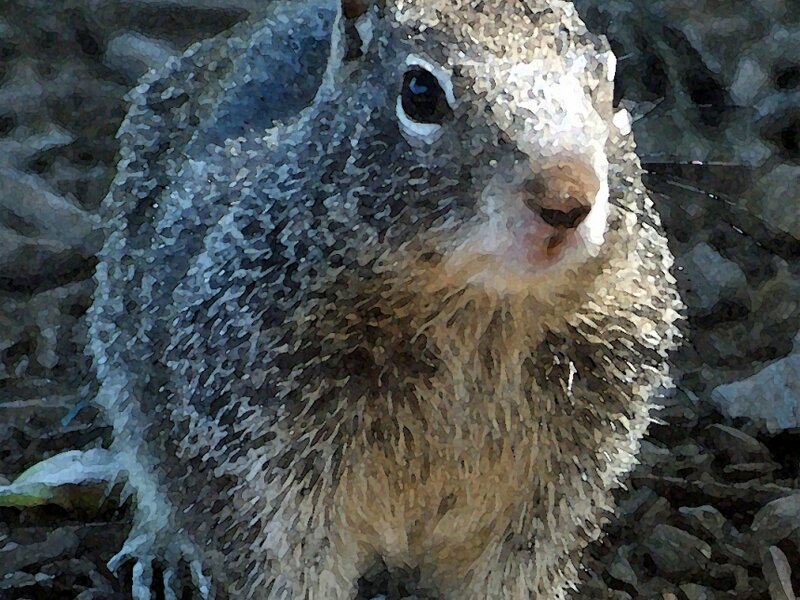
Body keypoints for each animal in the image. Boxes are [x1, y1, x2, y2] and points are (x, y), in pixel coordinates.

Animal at [86, 0, 682, 598]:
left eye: (612, 84)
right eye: (419, 92)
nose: (566, 197)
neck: (480, 312)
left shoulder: (563, 480)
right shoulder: (257, 462)